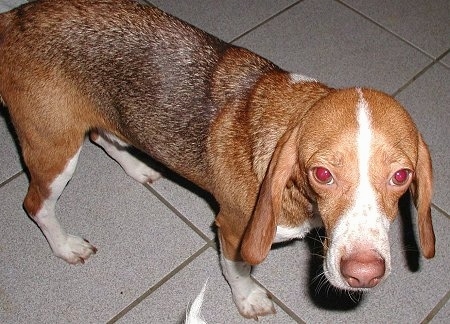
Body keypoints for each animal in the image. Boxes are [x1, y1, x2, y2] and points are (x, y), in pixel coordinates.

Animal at [0, 0, 436, 318]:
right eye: (323, 173)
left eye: (401, 176)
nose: (364, 274)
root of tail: (14, 16)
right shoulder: (233, 230)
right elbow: (238, 271)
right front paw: (247, 299)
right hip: (54, 151)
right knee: (36, 205)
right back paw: (65, 246)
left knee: (102, 135)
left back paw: (138, 167)